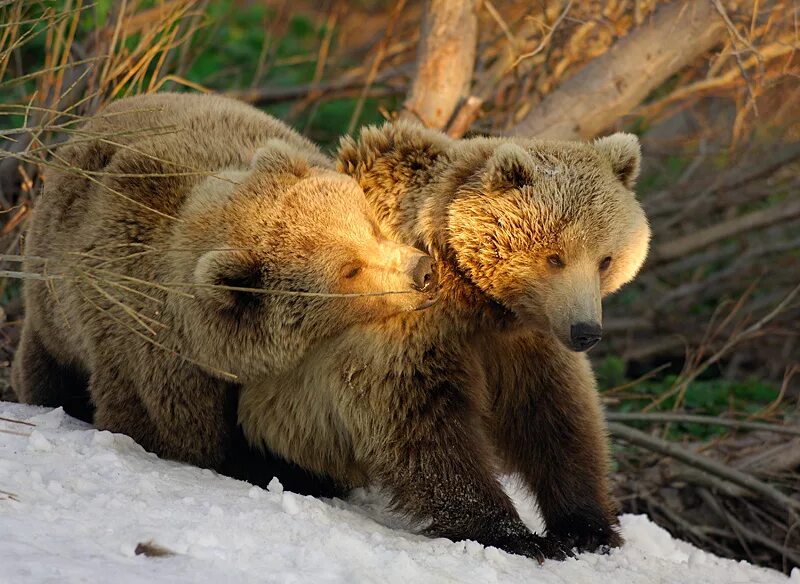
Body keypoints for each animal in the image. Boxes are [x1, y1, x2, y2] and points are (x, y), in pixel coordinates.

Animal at [10, 93, 438, 472]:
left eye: (369, 224)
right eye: (349, 270)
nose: (423, 272)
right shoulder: (153, 355)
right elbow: (171, 435)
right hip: (52, 313)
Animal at [238, 121, 648, 564]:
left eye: (605, 259)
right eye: (554, 257)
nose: (585, 331)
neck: (477, 301)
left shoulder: (526, 341)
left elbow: (556, 415)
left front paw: (586, 529)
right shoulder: (410, 325)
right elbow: (424, 421)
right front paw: (514, 535)